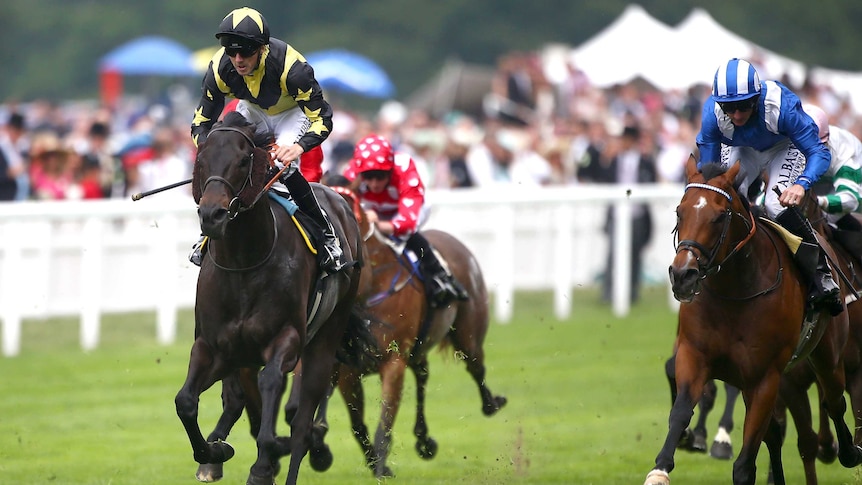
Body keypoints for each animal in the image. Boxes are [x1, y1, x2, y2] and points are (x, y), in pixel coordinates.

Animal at [176, 110, 368, 484]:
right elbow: (186, 401)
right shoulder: (215, 347)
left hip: (324, 341)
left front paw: (264, 463)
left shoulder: (286, 339)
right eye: (200, 159)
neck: (244, 262)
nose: (212, 215)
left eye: (243, 160)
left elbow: (272, 387)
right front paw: (214, 452)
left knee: (302, 422)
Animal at [328, 184, 510, 476]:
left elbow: (385, 420)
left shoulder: (393, 361)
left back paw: (491, 404)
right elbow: (357, 424)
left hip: (468, 334)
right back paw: (424, 439)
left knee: (475, 366)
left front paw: (380, 466)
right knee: (423, 373)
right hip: (419, 347)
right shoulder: (348, 371)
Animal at [644, 156, 860, 484]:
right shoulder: (695, 355)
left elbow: (746, 464)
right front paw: (662, 467)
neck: (735, 292)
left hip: (829, 357)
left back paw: (848, 451)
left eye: (719, 217)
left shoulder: (766, 378)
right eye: (680, 211)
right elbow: (681, 411)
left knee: (834, 401)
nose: (683, 275)